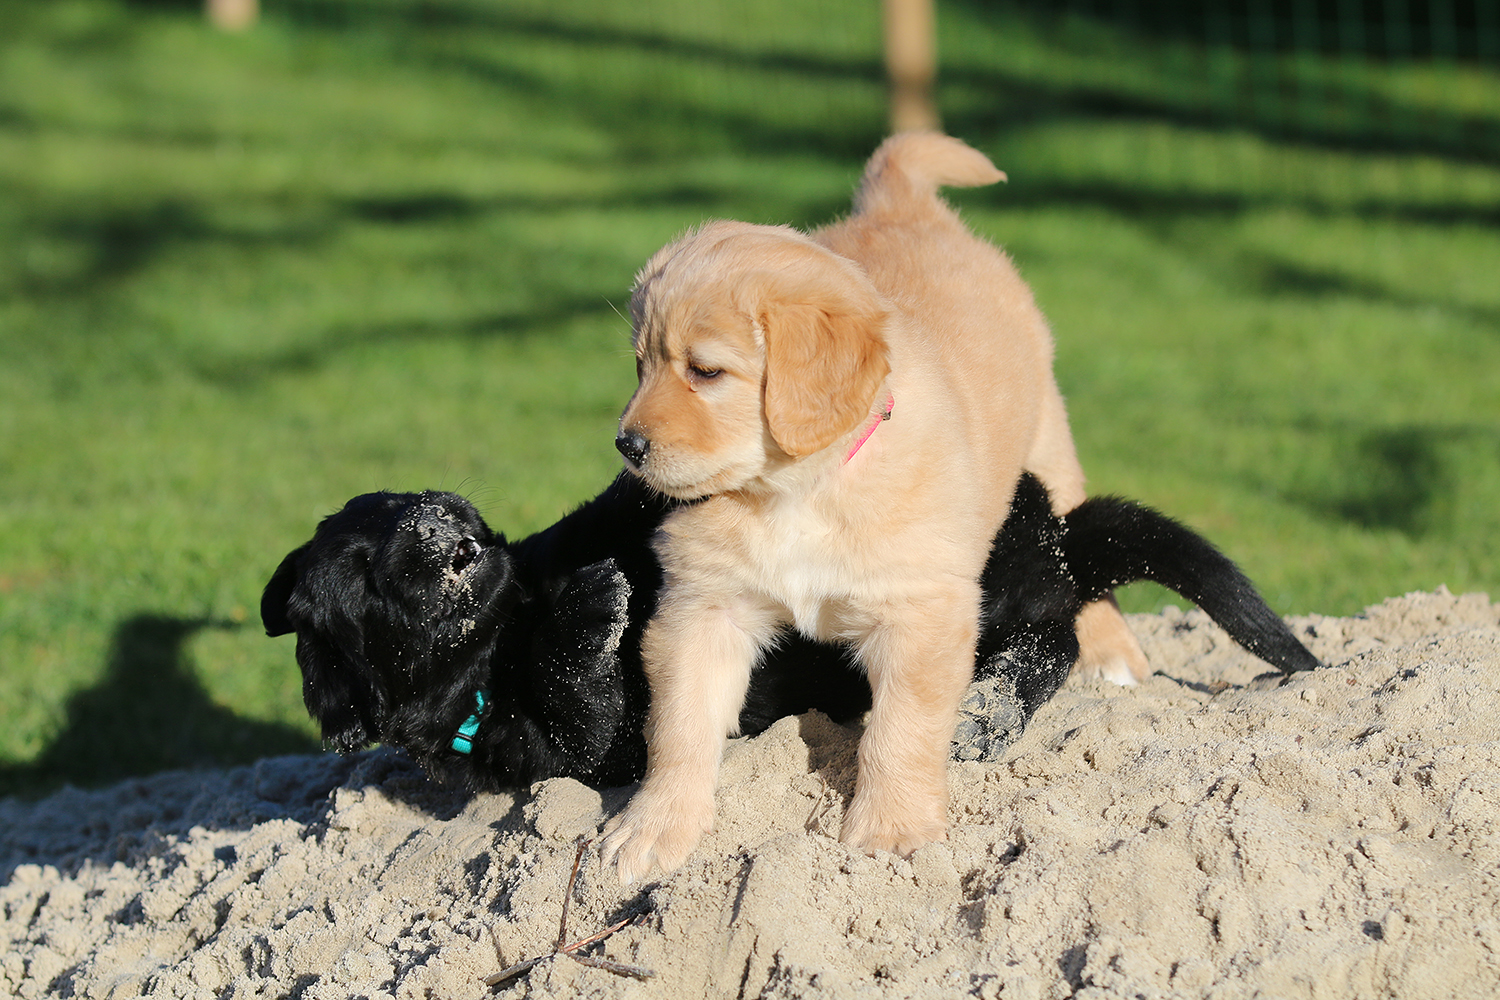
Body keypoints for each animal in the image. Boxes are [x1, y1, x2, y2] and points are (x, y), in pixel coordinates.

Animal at [261, 472, 1316, 795]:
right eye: (358, 575)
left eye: (403, 493)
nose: (445, 520)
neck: (504, 641)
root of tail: (1055, 533)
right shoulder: (577, 751)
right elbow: (586, 710)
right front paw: (597, 606)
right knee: (1050, 634)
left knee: (1051, 633)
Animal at [602, 132, 1192, 879]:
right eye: (639, 364)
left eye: (705, 372)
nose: (627, 445)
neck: (799, 490)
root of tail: (905, 207)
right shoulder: (703, 607)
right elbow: (680, 725)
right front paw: (654, 828)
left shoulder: (921, 611)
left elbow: (900, 729)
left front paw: (891, 828)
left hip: (1048, 441)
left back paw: (1113, 655)